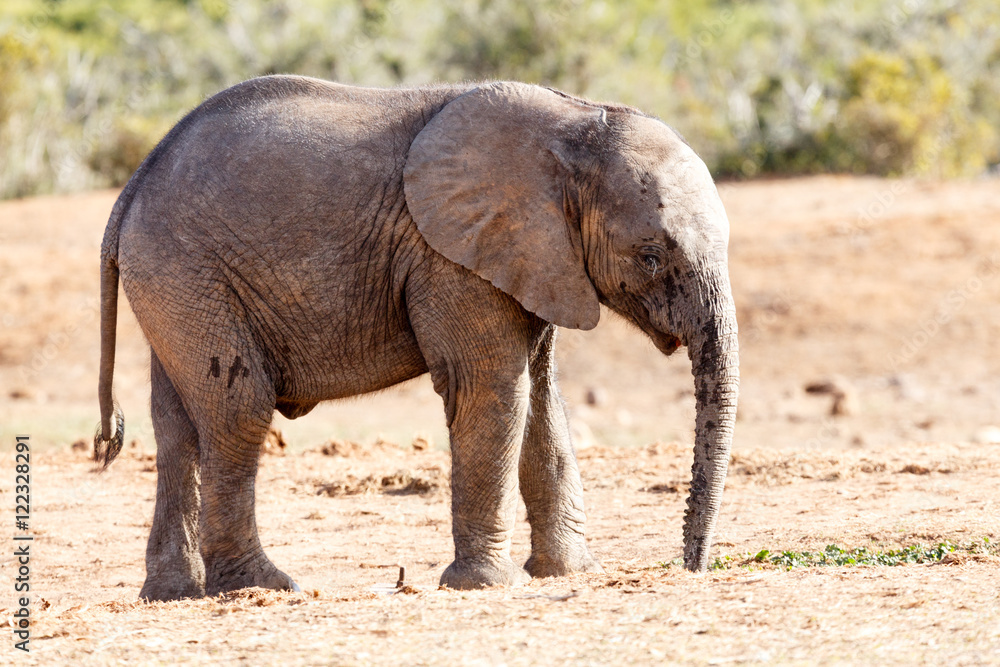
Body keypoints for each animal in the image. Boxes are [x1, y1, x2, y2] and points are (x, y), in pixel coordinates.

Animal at [94, 76, 739, 601]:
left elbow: (540, 397)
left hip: (175, 283)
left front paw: (567, 573)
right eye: (651, 256)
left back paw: (173, 593)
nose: (690, 566)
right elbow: (492, 389)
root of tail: (131, 189)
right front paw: (484, 584)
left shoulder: (535, 258)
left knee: (179, 426)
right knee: (239, 410)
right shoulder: (450, 256)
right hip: (187, 270)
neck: (575, 122)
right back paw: (265, 586)